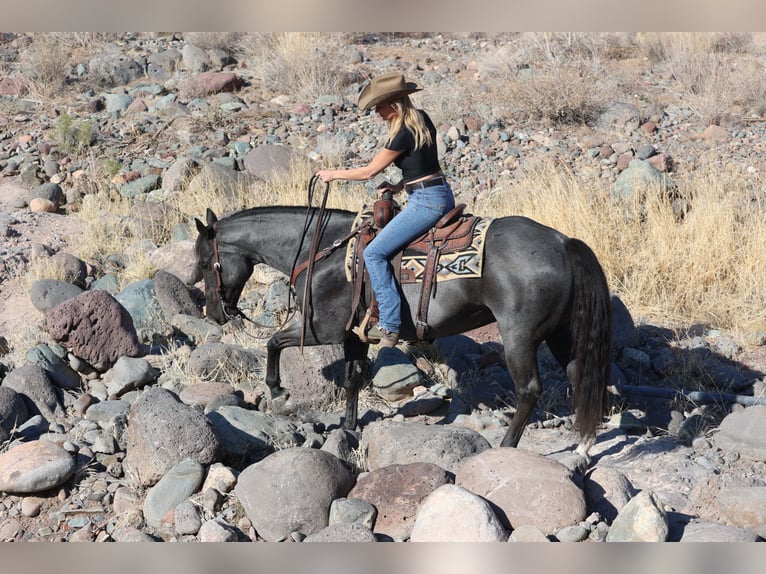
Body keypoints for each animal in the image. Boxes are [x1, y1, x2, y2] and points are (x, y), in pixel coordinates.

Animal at [195, 205, 616, 462]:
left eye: (202, 261)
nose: (215, 315)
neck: (323, 250)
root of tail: (563, 243)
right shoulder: (352, 335)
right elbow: (352, 378)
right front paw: (348, 427)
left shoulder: (321, 327)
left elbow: (273, 342)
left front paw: (277, 390)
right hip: (563, 335)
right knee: (580, 376)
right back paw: (583, 445)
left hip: (519, 336)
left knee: (529, 389)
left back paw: (506, 445)